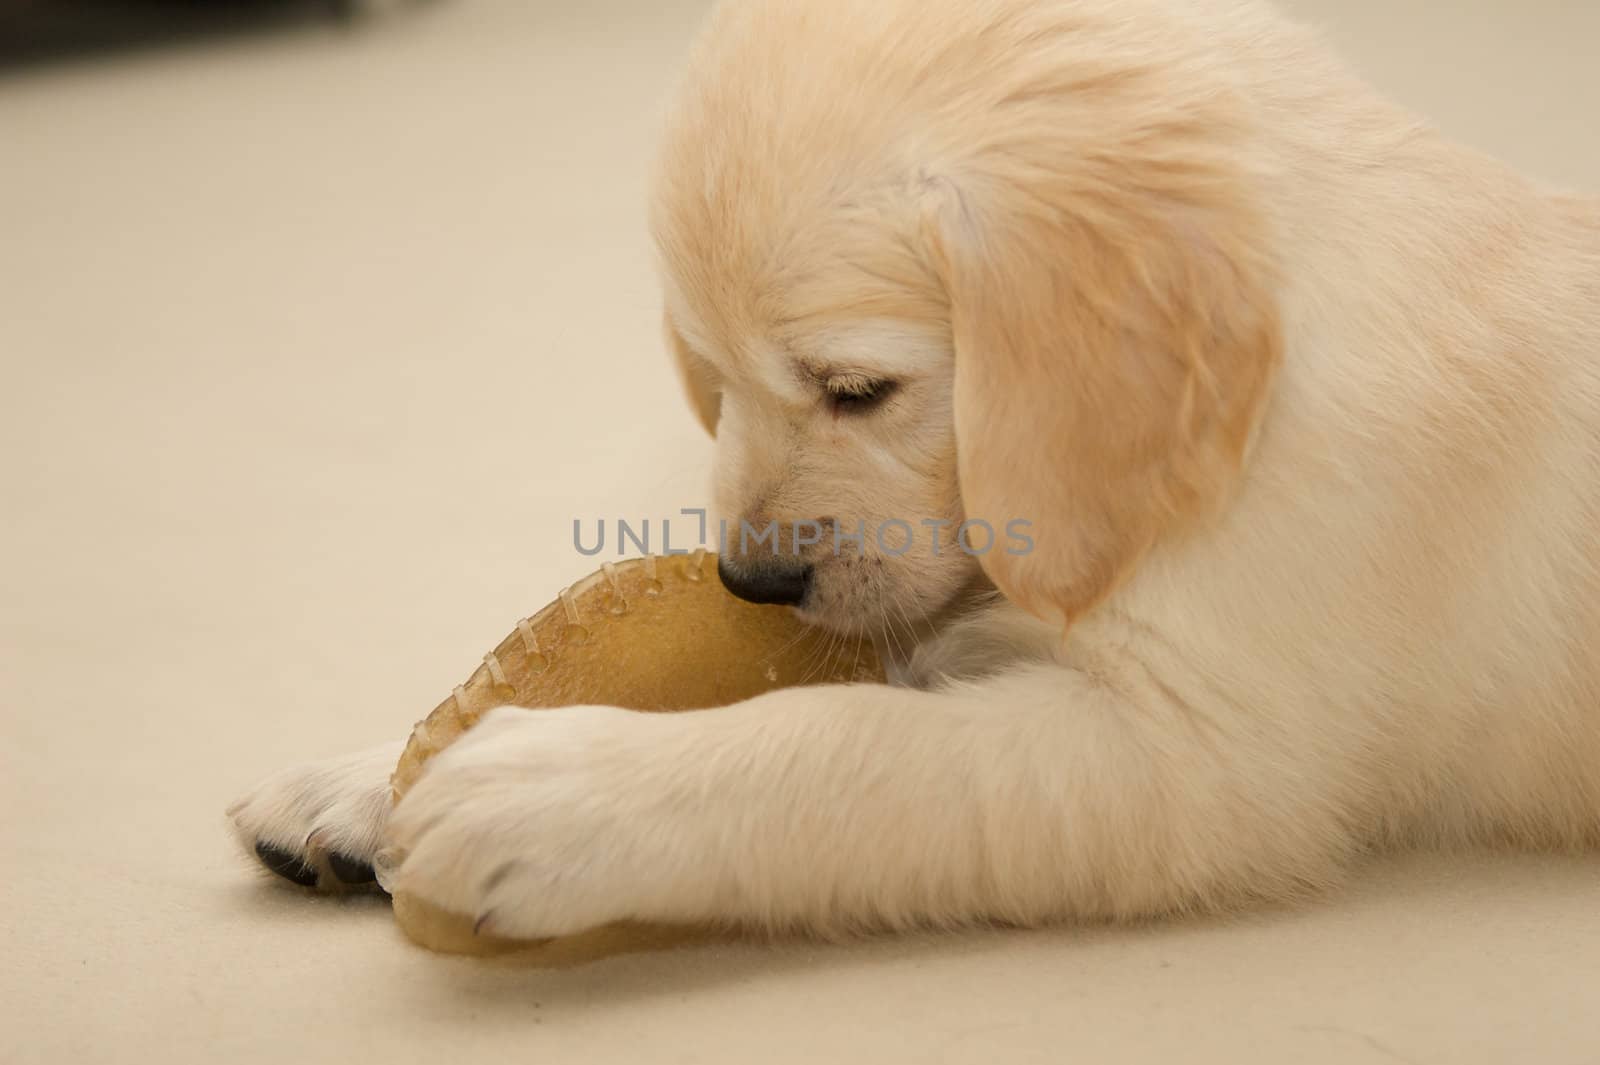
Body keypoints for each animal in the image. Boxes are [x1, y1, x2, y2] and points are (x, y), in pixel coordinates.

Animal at [232, 0, 1593, 933]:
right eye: (710, 377)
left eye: (856, 389)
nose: (750, 585)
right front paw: (361, 780)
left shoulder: (1206, 762)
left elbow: (848, 741)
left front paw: (558, 795)